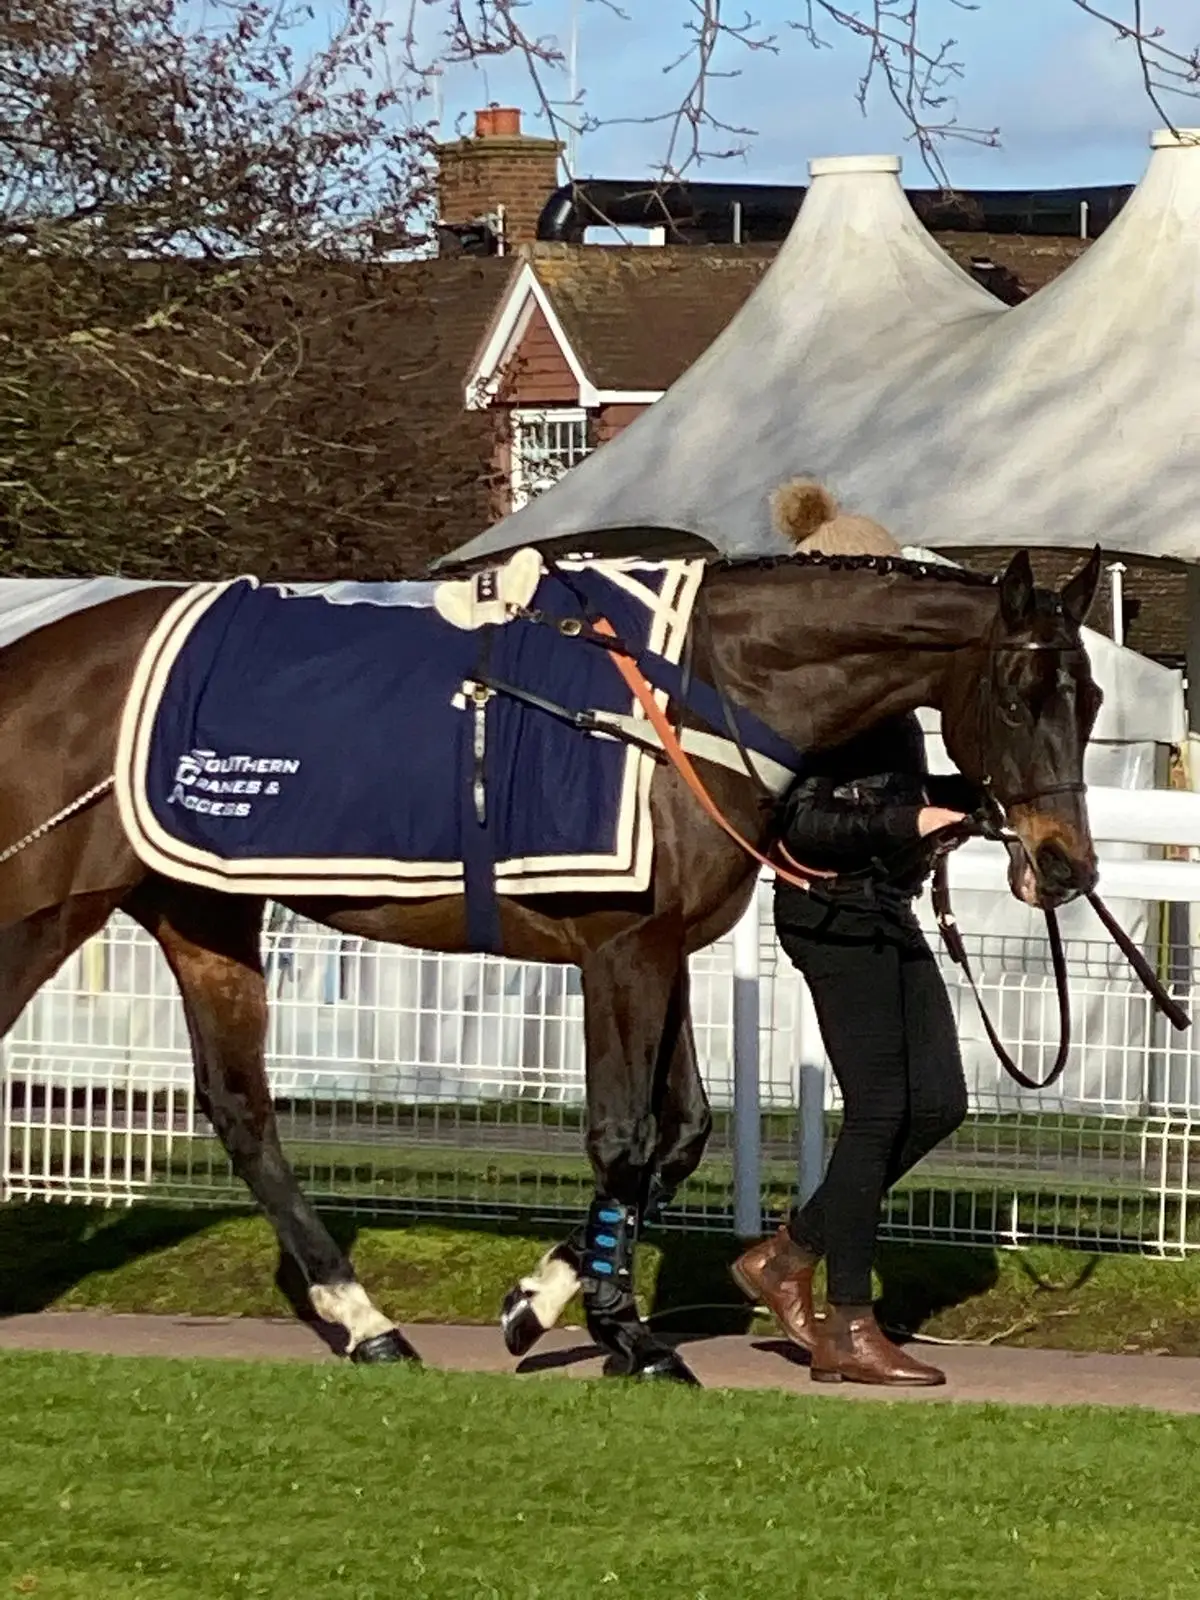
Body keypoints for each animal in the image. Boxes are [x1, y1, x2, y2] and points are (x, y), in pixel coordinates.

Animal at [0, 542, 1102, 1386]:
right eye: (1018, 695)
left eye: (1088, 699)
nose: (1063, 864)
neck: (694, 693)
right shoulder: (618, 949)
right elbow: (622, 1138)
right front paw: (619, 1333)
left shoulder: (664, 949)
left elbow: (680, 1135)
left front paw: (549, 1297)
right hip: (43, 910)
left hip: (200, 910)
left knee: (241, 1112)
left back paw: (367, 1323)